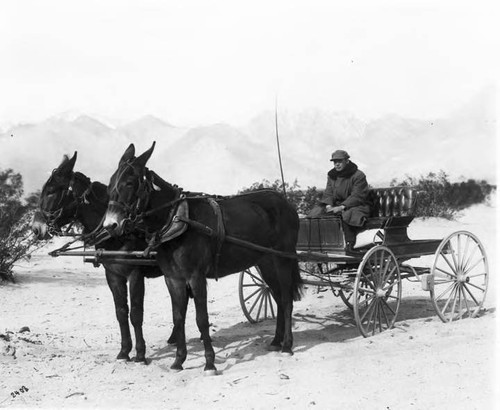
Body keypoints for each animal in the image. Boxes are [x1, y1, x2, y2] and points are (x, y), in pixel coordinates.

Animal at [31, 152, 168, 364]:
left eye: (51, 191)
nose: (36, 228)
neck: (117, 233)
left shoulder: (135, 275)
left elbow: (136, 313)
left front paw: (140, 354)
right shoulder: (113, 275)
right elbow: (121, 312)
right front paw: (124, 351)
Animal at [103, 142, 302, 374]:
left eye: (129, 182)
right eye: (109, 184)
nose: (110, 225)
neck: (177, 219)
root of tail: (285, 202)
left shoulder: (195, 277)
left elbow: (201, 319)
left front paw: (209, 362)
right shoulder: (173, 279)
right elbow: (178, 317)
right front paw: (179, 360)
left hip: (282, 259)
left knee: (286, 299)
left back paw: (287, 345)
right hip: (266, 262)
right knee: (277, 297)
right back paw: (276, 341)